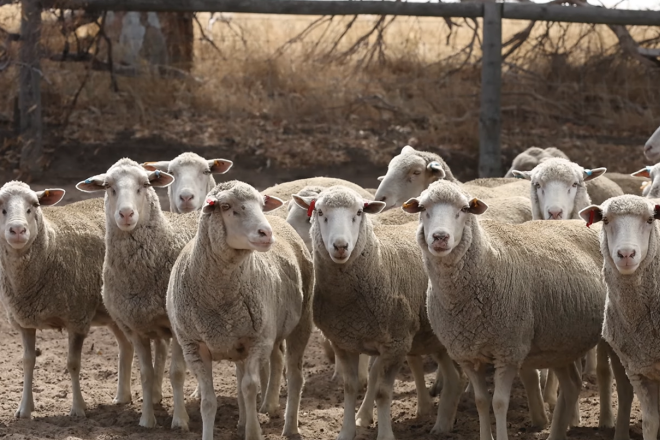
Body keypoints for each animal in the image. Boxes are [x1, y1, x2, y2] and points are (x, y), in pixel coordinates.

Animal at [0, 182, 133, 419]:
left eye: (34, 205)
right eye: (1, 207)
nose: (17, 230)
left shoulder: (77, 318)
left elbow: (73, 364)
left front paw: (78, 408)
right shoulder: (24, 321)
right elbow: (27, 361)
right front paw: (24, 409)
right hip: (113, 314)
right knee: (126, 347)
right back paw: (122, 397)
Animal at [77, 158, 198, 429]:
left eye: (144, 184)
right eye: (108, 186)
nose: (126, 214)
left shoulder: (177, 326)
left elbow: (176, 372)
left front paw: (180, 420)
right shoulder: (135, 326)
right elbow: (146, 373)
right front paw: (146, 419)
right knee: (160, 353)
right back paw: (155, 397)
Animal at [166, 181, 313, 440]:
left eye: (261, 204)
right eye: (225, 206)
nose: (266, 233)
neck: (219, 297)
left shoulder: (259, 340)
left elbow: (250, 387)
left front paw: (253, 432)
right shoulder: (194, 346)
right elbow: (209, 401)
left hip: (301, 322)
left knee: (295, 376)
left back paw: (290, 427)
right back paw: (245, 421)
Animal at [293, 185, 465, 440]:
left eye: (358, 213)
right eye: (320, 212)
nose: (341, 246)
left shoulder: (396, 344)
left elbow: (383, 393)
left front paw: (385, 434)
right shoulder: (343, 342)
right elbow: (350, 387)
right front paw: (346, 432)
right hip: (435, 338)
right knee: (455, 378)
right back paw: (442, 425)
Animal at [403, 179, 609, 440]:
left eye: (464, 209)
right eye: (422, 208)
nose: (440, 237)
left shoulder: (508, 351)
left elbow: (499, 403)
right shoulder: (467, 354)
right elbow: (481, 401)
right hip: (560, 342)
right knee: (572, 385)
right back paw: (557, 433)